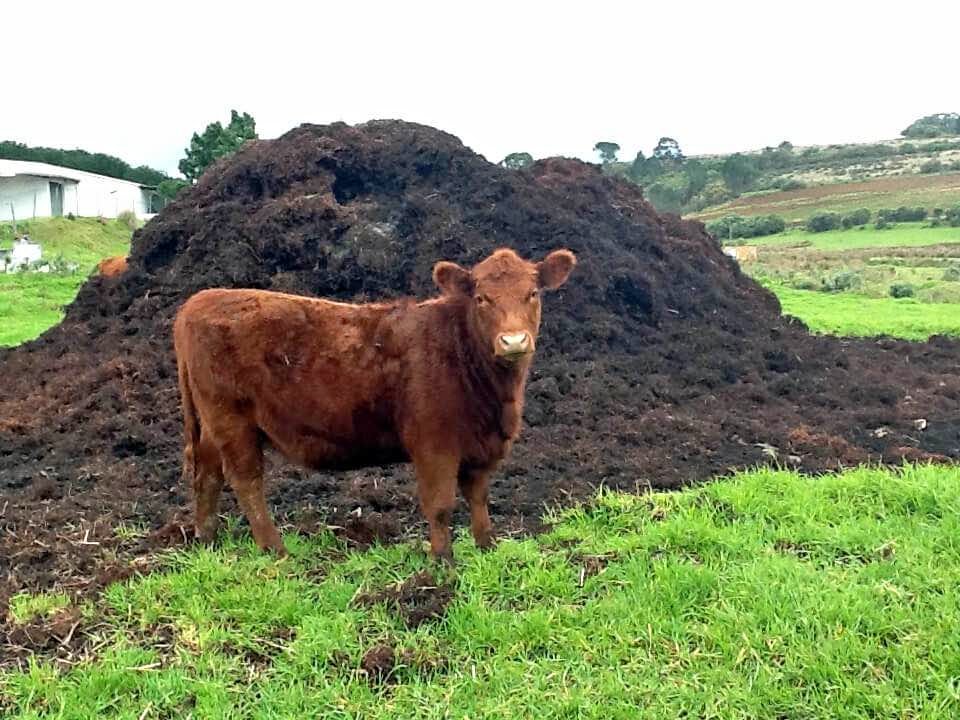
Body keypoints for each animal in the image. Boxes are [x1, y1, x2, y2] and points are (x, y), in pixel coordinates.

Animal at [173, 247, 576, 562]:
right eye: (482, 298)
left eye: (533, 293)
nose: (513, 341)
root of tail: (198, 300)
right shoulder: (434, 444)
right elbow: (440, 504)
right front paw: (442, 562)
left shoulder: (480, 446)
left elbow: (478, 497)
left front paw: (486, 548)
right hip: (232, 419)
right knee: (246, 480)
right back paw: (276, 550)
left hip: (212, 423)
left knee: (207, 473)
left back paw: (207, 540)